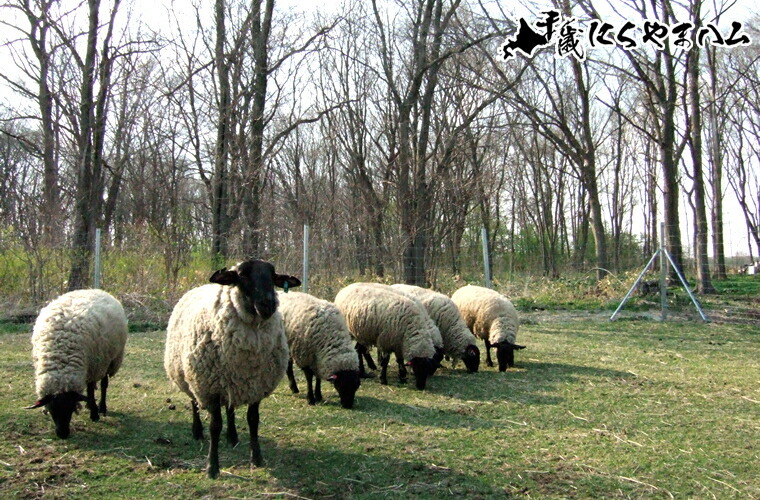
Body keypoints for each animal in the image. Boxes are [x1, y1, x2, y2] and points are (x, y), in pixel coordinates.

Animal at [27, 290, 129, 438]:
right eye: (51, 408)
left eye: (71, 407)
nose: (63, 434)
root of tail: (96, 290)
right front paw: (91, 407)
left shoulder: (94, 366)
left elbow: (91, 390)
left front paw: (94, 414)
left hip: (108, 360)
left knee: (103, 384)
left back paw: (102, 407)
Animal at [164, 260, 300, 478]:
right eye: (242, 275)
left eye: (273, 276)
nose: (268, 305)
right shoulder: (210, 388)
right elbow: (215, 426)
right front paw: (212, 467)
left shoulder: (255, 386)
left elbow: (253, 420)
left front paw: (257, 458)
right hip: (190, 376)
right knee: (194, 402)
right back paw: (197, 432)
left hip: (231, 381)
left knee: (229, 408)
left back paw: (233, 437)